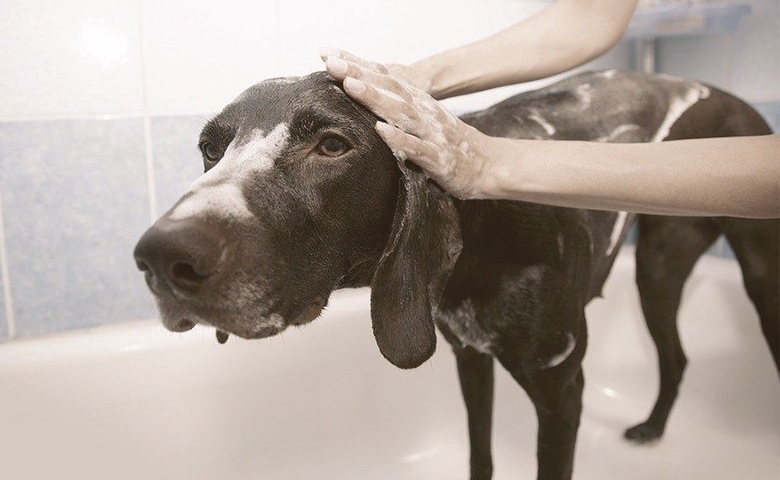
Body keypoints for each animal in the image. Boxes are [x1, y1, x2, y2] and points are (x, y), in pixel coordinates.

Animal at [134, 71, 780, 480]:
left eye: (333, 145)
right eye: (210, 149)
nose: (161, 257)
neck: (484, 240)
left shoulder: (561, 392)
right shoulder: (469, 358)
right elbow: (480, 455)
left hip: (714, 272)